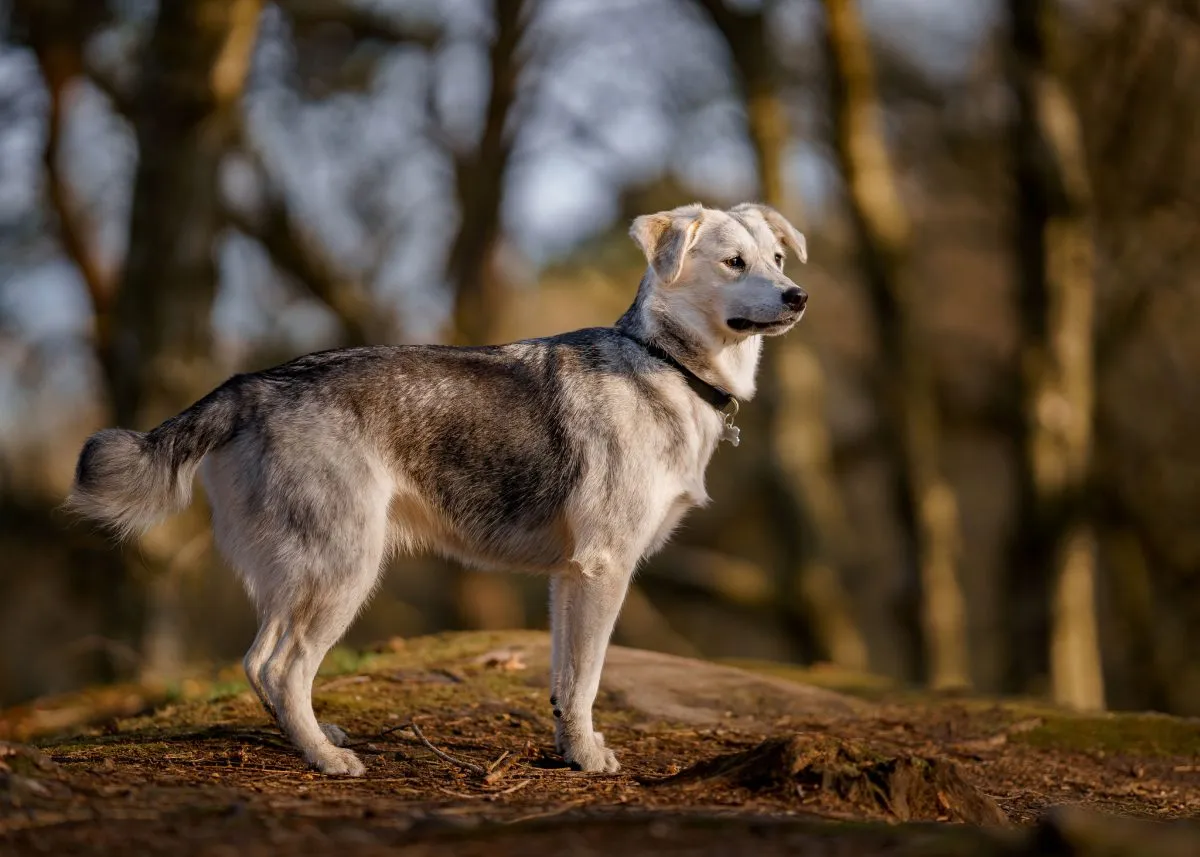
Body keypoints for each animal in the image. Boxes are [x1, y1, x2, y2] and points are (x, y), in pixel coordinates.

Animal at [70, 201, 811, 772]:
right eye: (734, 262)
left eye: (778, 257)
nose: (797, 295)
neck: (664, 362)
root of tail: (248, 384)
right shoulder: (605, 569)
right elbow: (589, 678)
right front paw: (589, 758)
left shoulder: (569, 577)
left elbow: (565, 681)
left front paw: (570, 749)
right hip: (343, 568)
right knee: (281, 666)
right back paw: (326, 758)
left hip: (299, 572)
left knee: (260, 665)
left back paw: (308, 738)